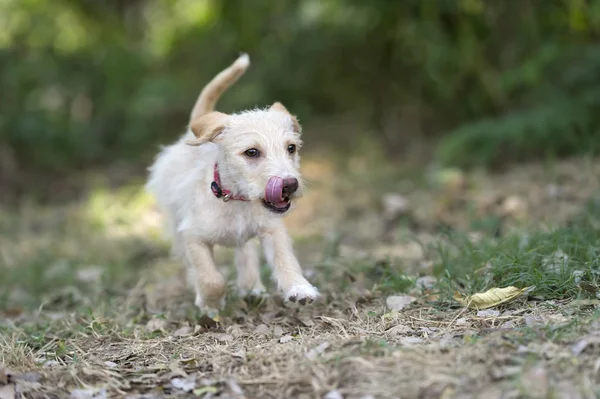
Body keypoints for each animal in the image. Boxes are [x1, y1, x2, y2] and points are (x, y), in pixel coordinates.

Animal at [146, 54, 318, 316]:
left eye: (291, 148)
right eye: (252, 152)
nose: (289, 185)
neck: (237, 200)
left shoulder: (272, 229)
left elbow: (284, 258)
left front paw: (299, 287)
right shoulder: (193, 237)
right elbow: (211, 278)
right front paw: (210, 303)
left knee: (245, 253)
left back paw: (251, 287)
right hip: (175, 222)